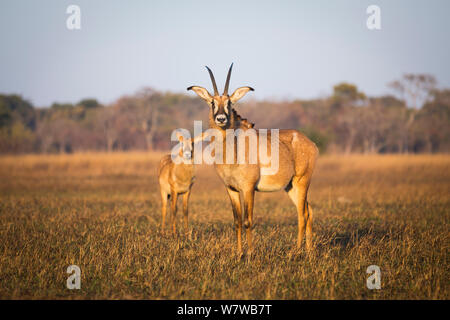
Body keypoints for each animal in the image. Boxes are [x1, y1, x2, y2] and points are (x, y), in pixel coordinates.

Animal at [188, 63, 318, 256]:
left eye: (229, 102)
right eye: (212, 102)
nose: (221, 118)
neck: (232, 151)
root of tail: (310, 142)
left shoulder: (249, 189)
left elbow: (248, 221)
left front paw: (249, 253)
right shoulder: (232, 189)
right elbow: (237, 222)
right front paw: (238, 253)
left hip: (302, 181)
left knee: (302, 215)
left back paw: (296, 251)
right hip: (290, 186)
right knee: (308, 212)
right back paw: (309, 251)